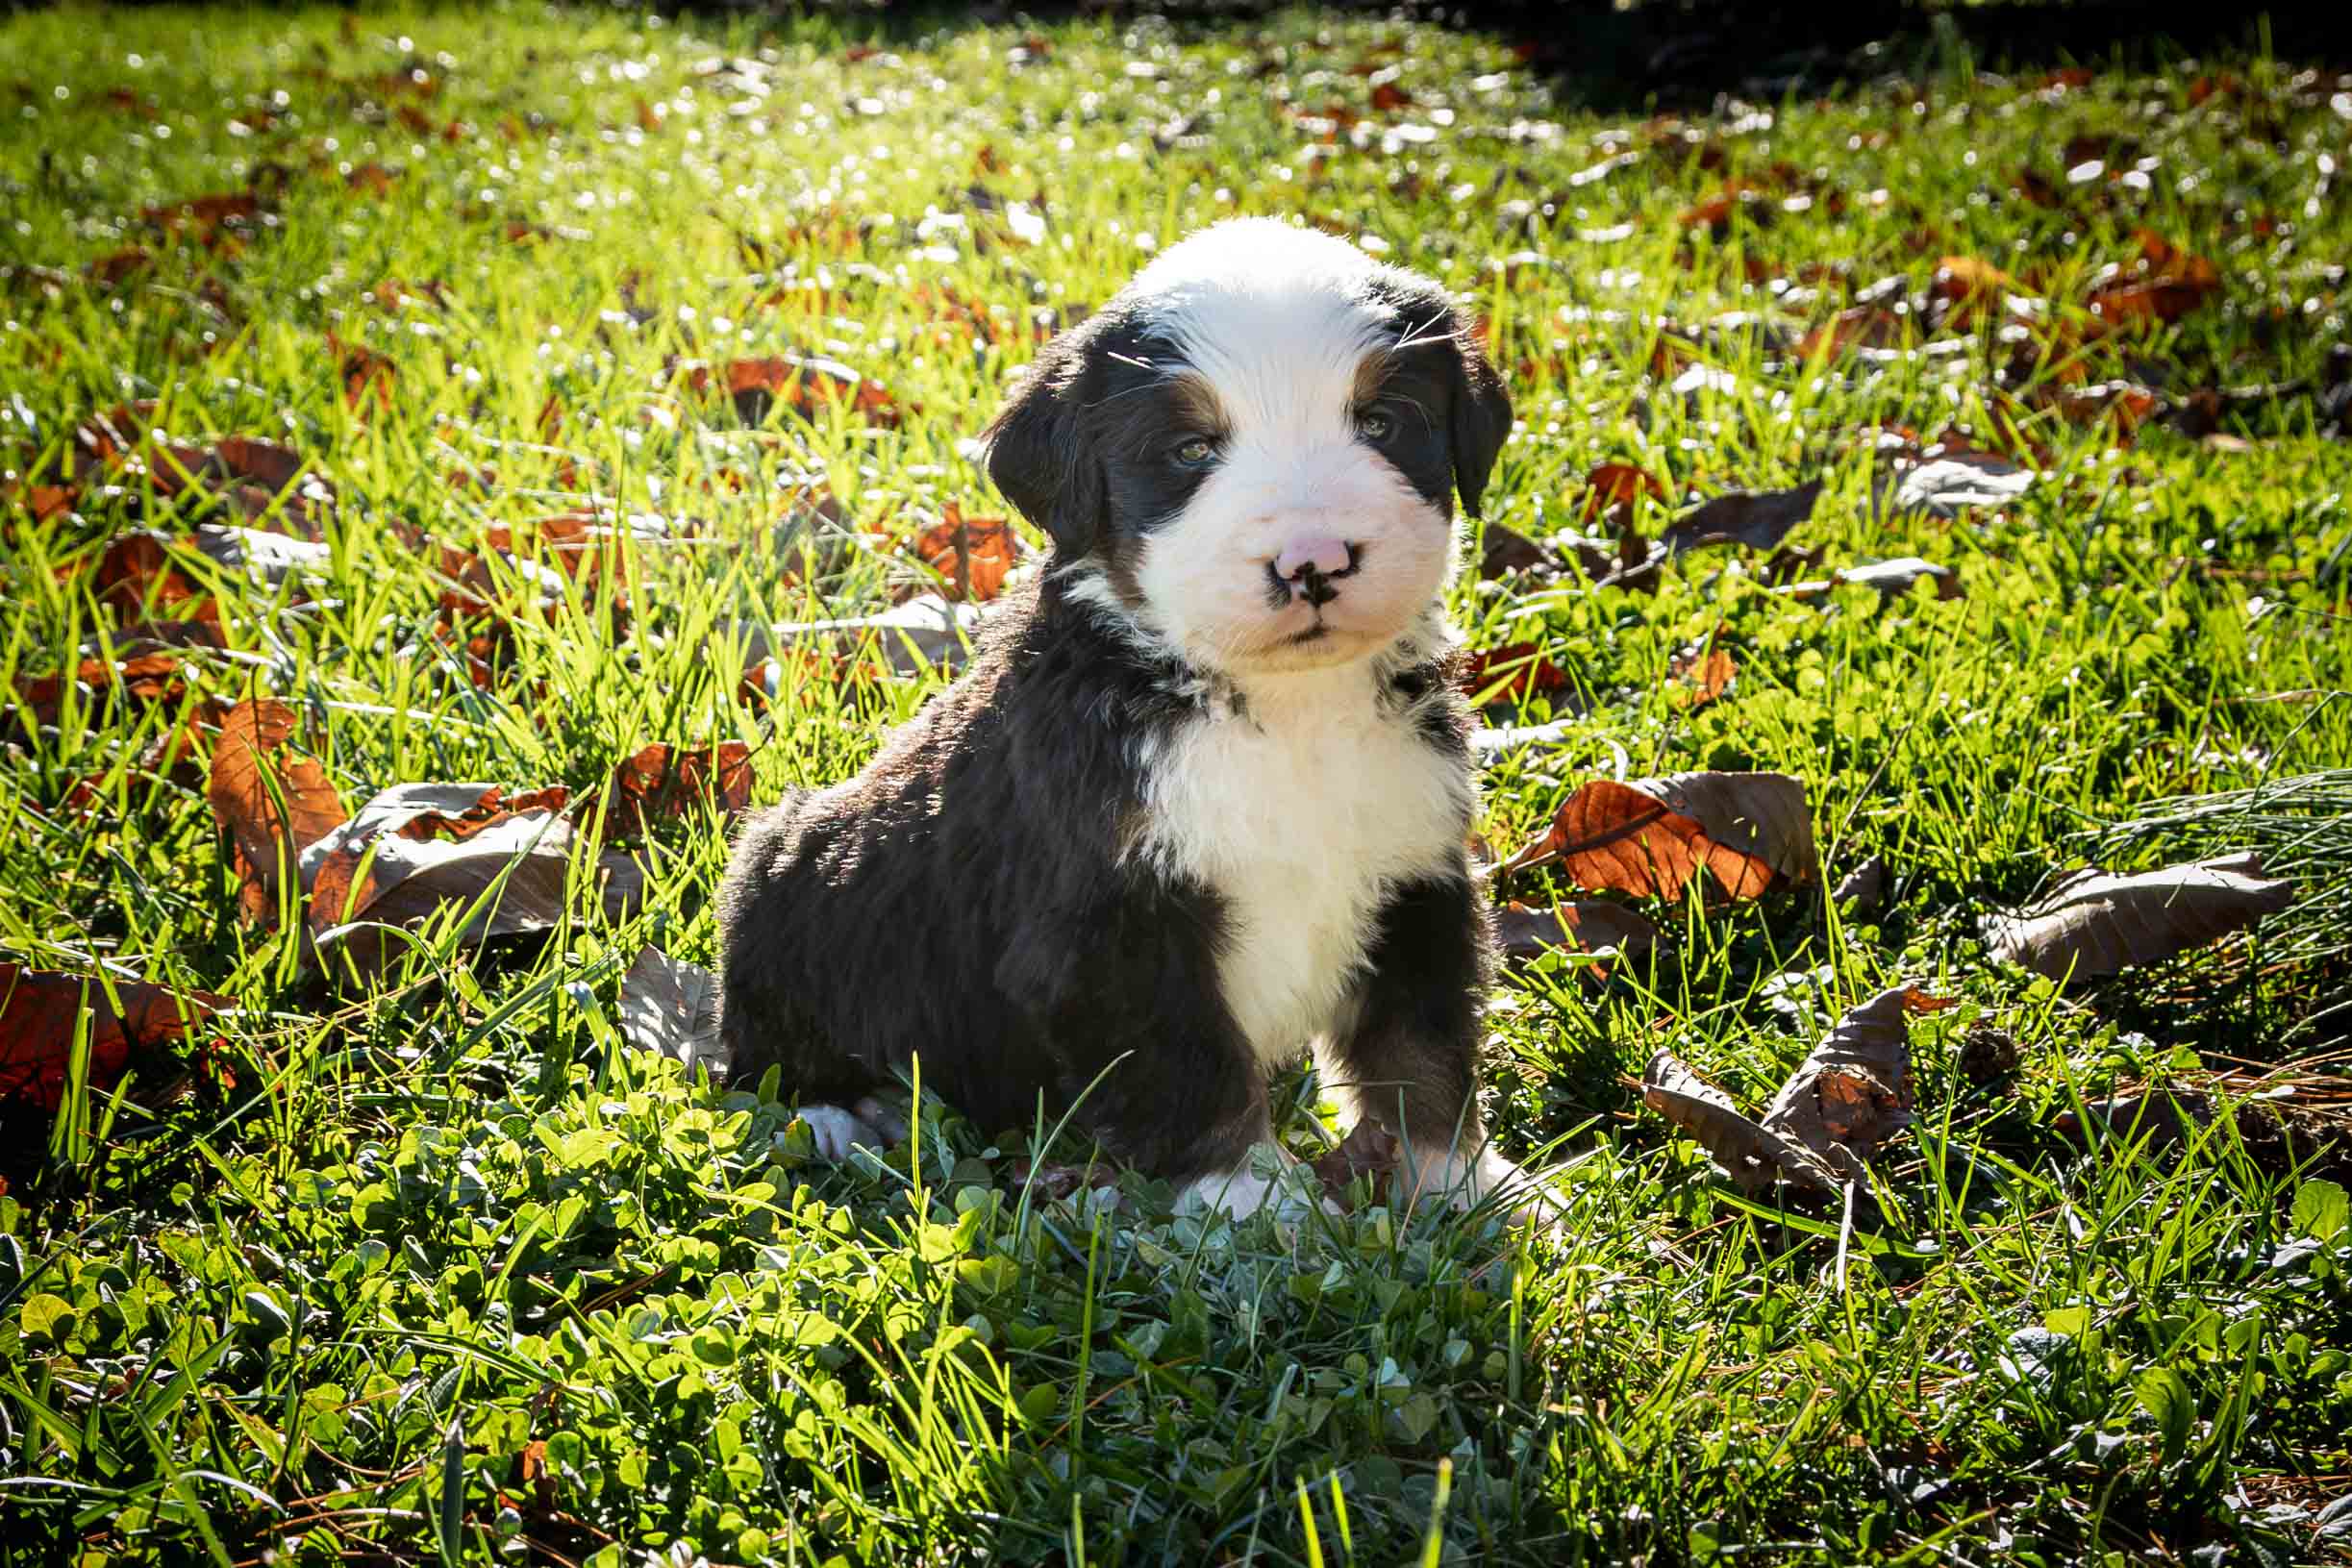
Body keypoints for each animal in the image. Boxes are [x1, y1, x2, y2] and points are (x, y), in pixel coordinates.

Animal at [714, 217, 1552, 1222]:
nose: (1313, 560)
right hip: (787, 878)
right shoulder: (1109, 924)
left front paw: (1469, 1189)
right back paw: (842, 1113)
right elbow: (1189, 1065)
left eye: (1382, 424)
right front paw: (1255, 1204)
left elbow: (1420, 1044)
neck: (1284, 711)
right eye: (1192, 450)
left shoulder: (1415, 867)